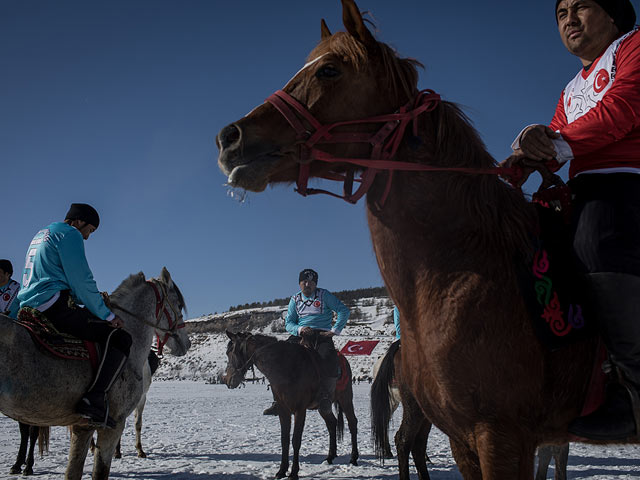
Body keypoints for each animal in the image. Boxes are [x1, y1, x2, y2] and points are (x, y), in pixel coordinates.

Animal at [0, 268, 190, 478]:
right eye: (179, 305)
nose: (186, 343)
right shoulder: (112, 423)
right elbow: (100, 471)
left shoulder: (83, 427)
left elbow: (73, 472)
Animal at [222, 332, 358, 478]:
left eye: (230, 352)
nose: (228, 380)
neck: (285, 368)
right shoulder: (283, 410)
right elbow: (285, 440)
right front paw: (281, 471)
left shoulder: (300, 409)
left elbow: (296, 440)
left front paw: (293, 472)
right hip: (323, 407)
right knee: (332, 423)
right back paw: (329, 457)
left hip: (345, 398)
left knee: (352, 422)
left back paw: (353, 458)